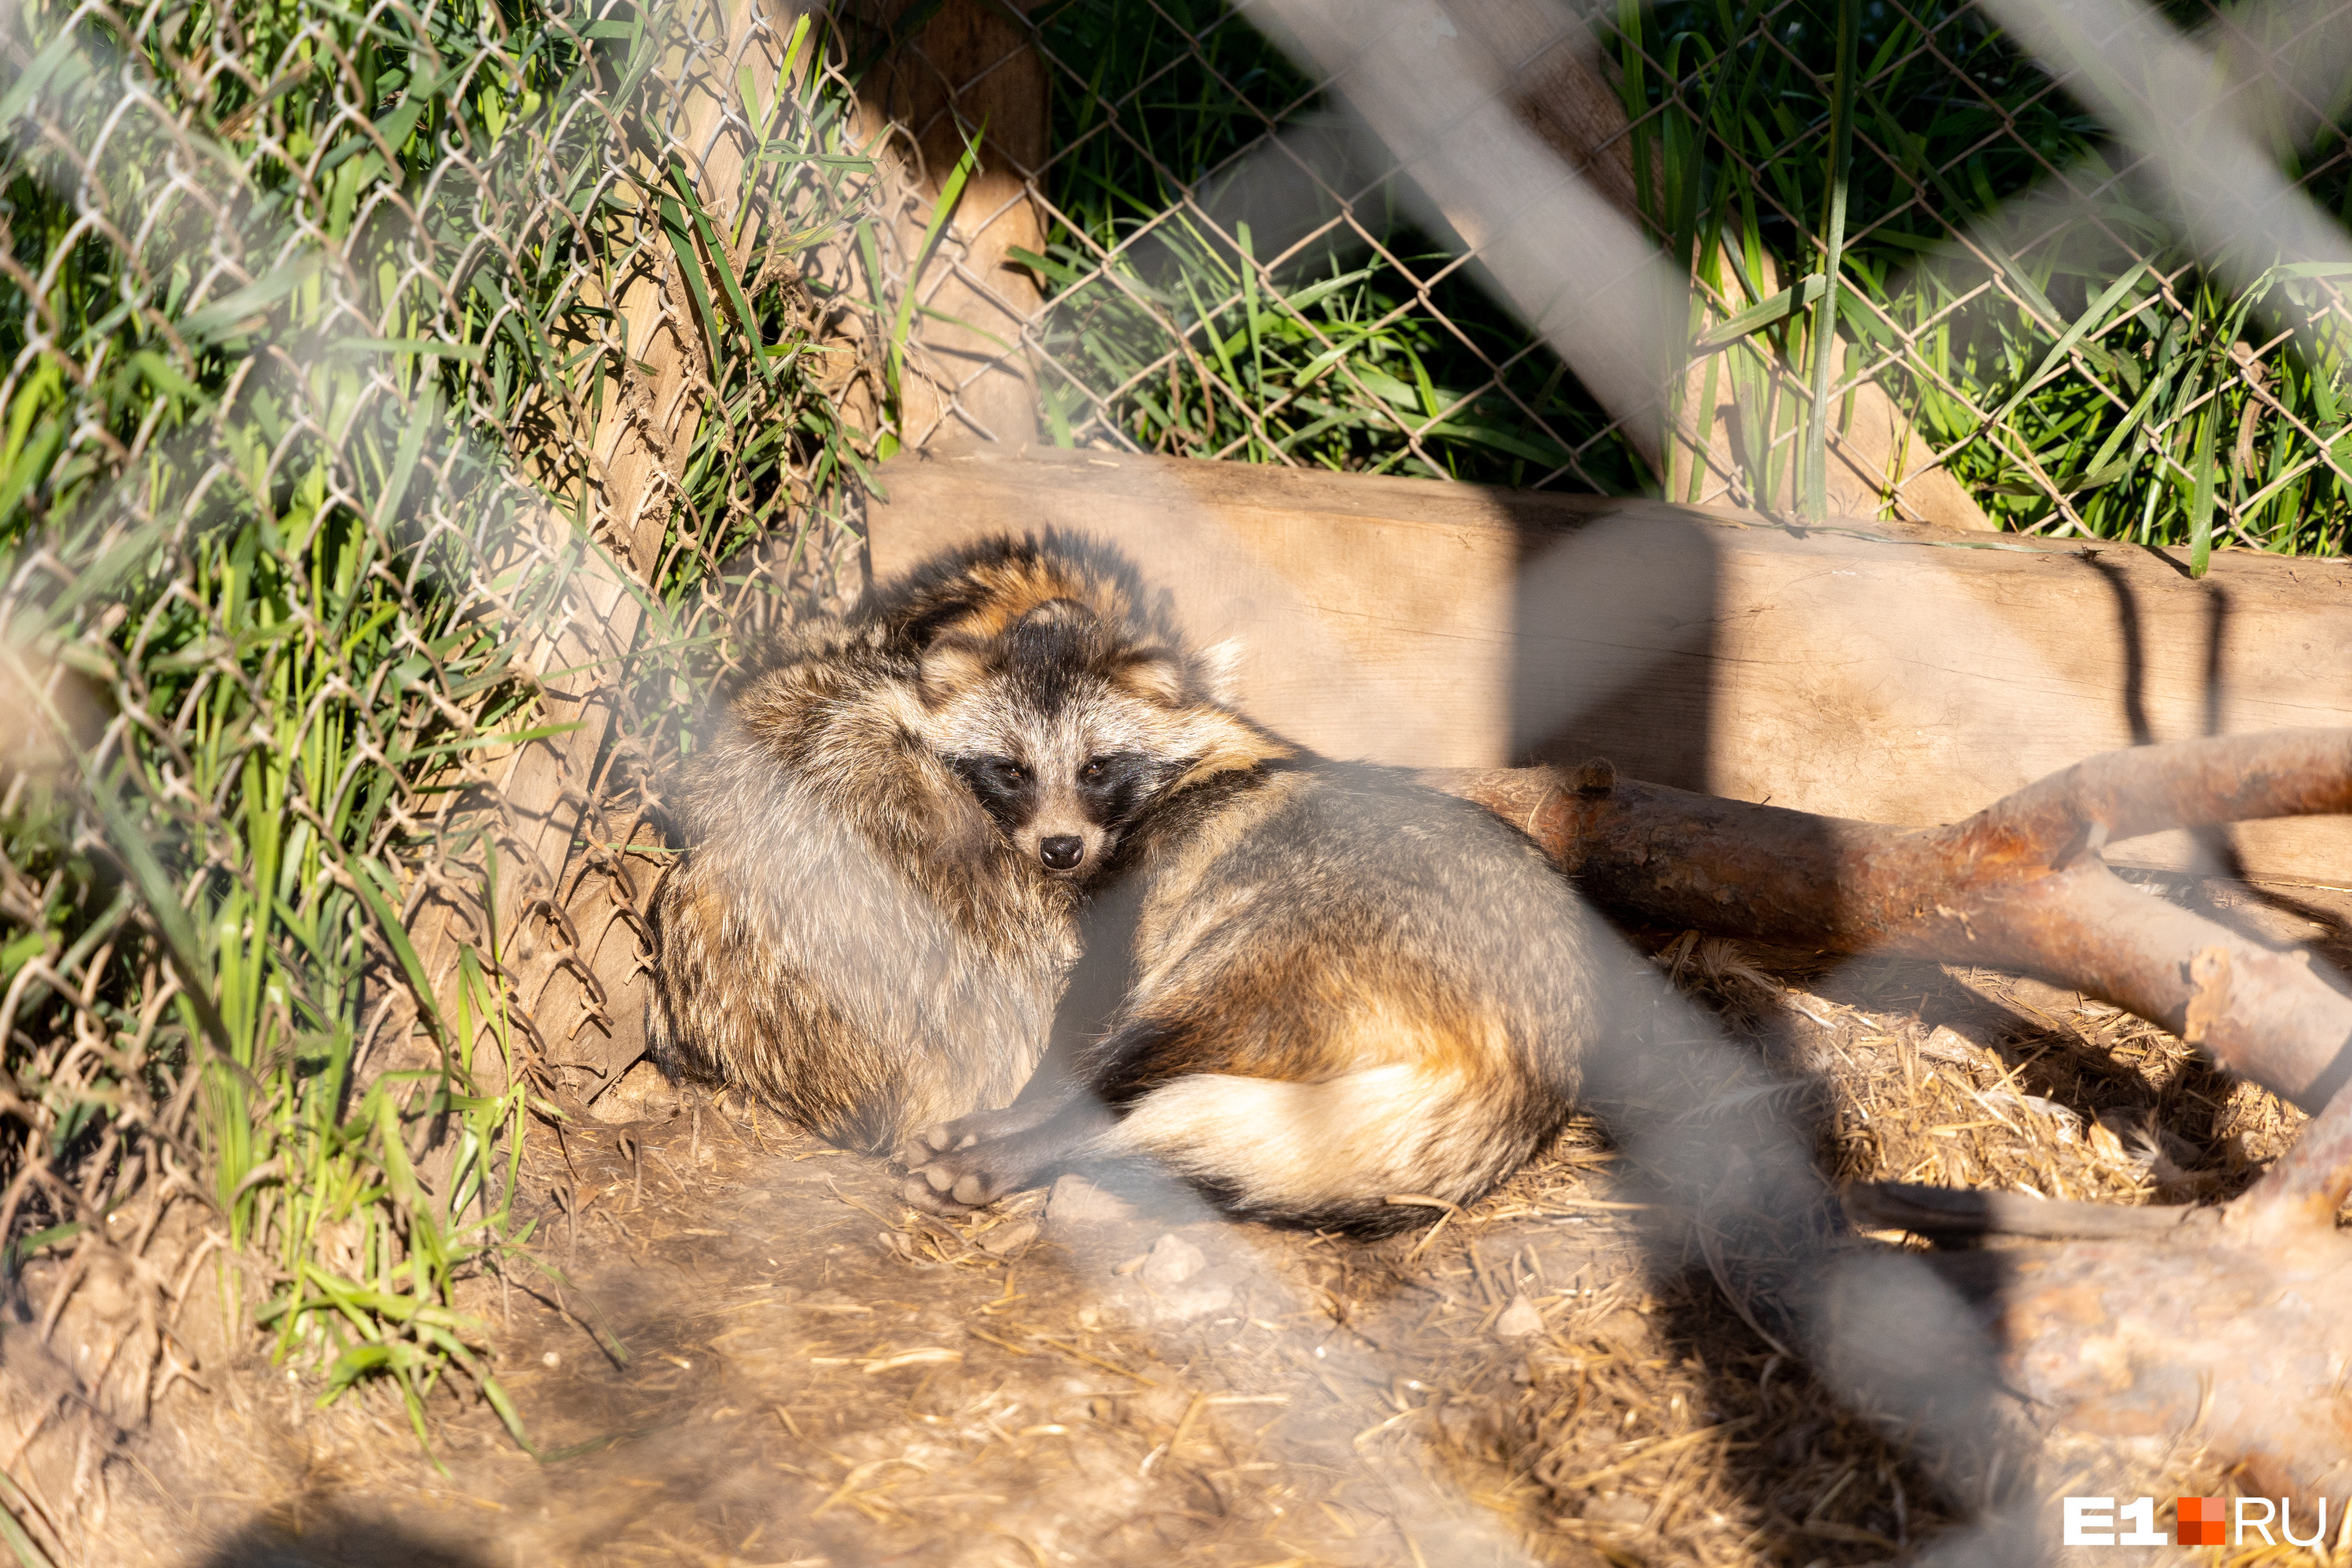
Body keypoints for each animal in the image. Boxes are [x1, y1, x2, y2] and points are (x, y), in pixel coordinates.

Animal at [889, 540, 1609, 1241]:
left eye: (1097, 767)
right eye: (1012, 771)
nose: (1060, 849)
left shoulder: (1148, 894)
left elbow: (1094, 1007)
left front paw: (1031, 1108)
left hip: (1284, 955)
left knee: (1139, 1070)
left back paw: (1019, 1144)